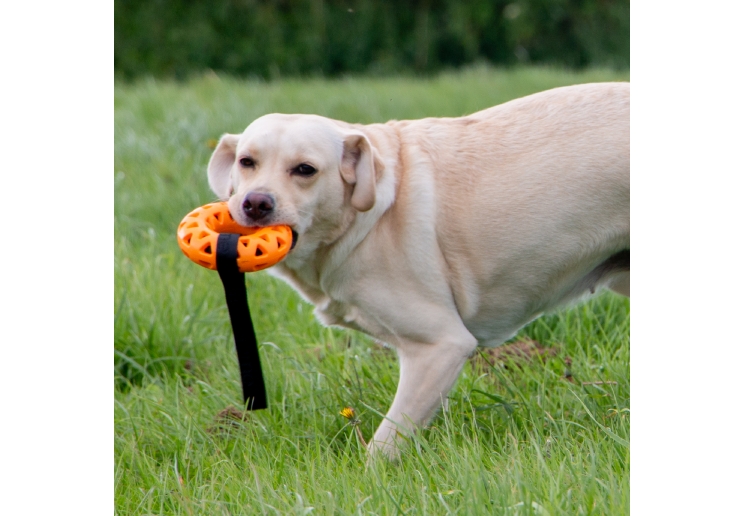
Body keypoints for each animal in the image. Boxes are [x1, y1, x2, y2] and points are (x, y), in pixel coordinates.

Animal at [208, 82, 628, 458]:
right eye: (247, 162)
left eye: (305, 169)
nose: (255, 203)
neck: (368, 214)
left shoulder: (441, 347)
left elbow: (382, 448)